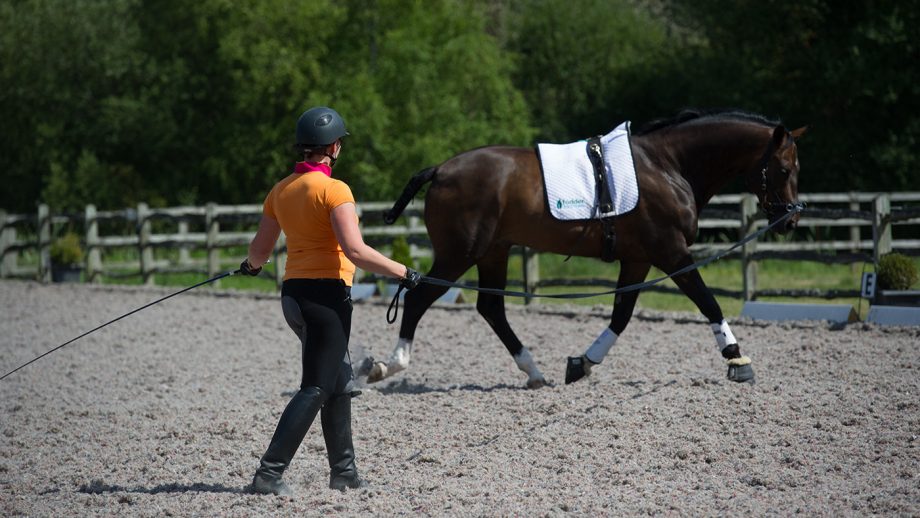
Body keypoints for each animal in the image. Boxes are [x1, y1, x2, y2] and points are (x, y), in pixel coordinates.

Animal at [361, 109, 805, 388]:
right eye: (784, 169)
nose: (790, 220)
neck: (667, 166)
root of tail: (440, 170)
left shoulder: (638, 259)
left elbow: (622, 315)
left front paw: (582, 363)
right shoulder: (671, 253)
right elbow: (707, 300)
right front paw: (737, 359)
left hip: (493, 252)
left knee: (491, 309)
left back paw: (533, 371)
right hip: (460, 254)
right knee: (418, 298)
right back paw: (390, 364)